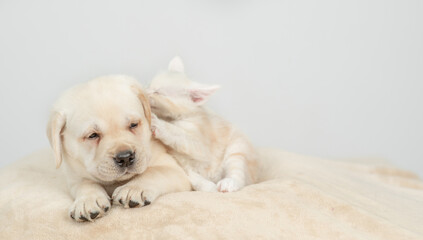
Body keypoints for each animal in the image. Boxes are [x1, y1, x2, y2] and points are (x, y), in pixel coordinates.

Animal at [46, 74, 190, 221]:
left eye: (133, 124)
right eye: (93, 135)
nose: (125, 157)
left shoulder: (174, 170)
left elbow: (154, 172)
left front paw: (133, 188)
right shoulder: (75, 176)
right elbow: (86, 183)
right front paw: (87, 200)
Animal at [147, 58, 258, 193]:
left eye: (157, 92)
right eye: (149, 85)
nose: (144, 92)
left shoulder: (202, 147)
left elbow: (179, 134)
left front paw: (157, 123)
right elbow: (190, 173)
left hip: (238, 147)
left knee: (238, 172)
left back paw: (228, 183)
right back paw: (208, 186)